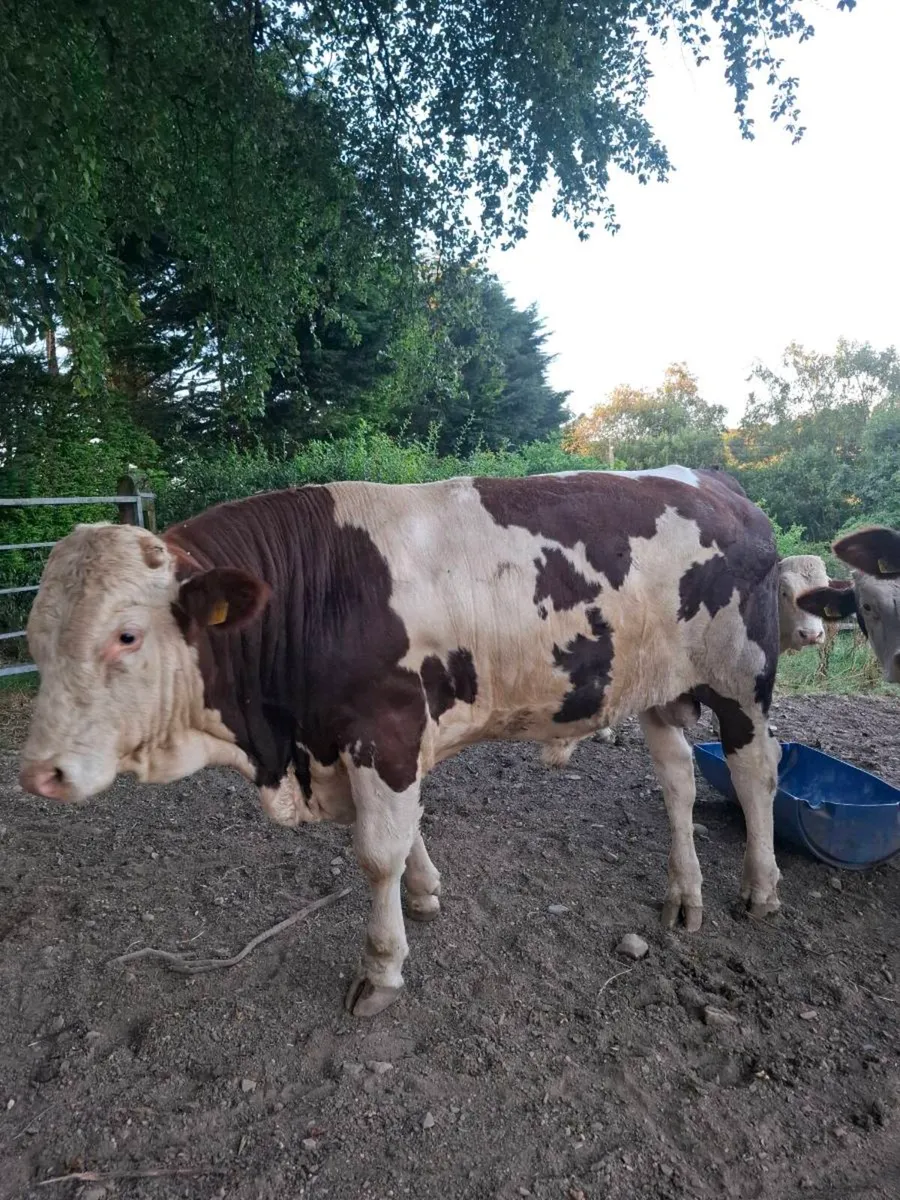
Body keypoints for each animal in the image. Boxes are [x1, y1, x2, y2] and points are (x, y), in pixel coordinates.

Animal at [18, 466, 782, 1017]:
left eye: (126, 635)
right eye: (33, 638)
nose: (39, 774)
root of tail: (716, 484)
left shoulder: (382, 732)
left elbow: (376, 853)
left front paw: (382, 968)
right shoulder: (366, 745)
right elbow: (405, 828)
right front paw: (424, 891)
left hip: (742, 679)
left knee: (755, 772)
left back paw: (760, 887)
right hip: (655, 689)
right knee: (678, 779)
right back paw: (685, 893)